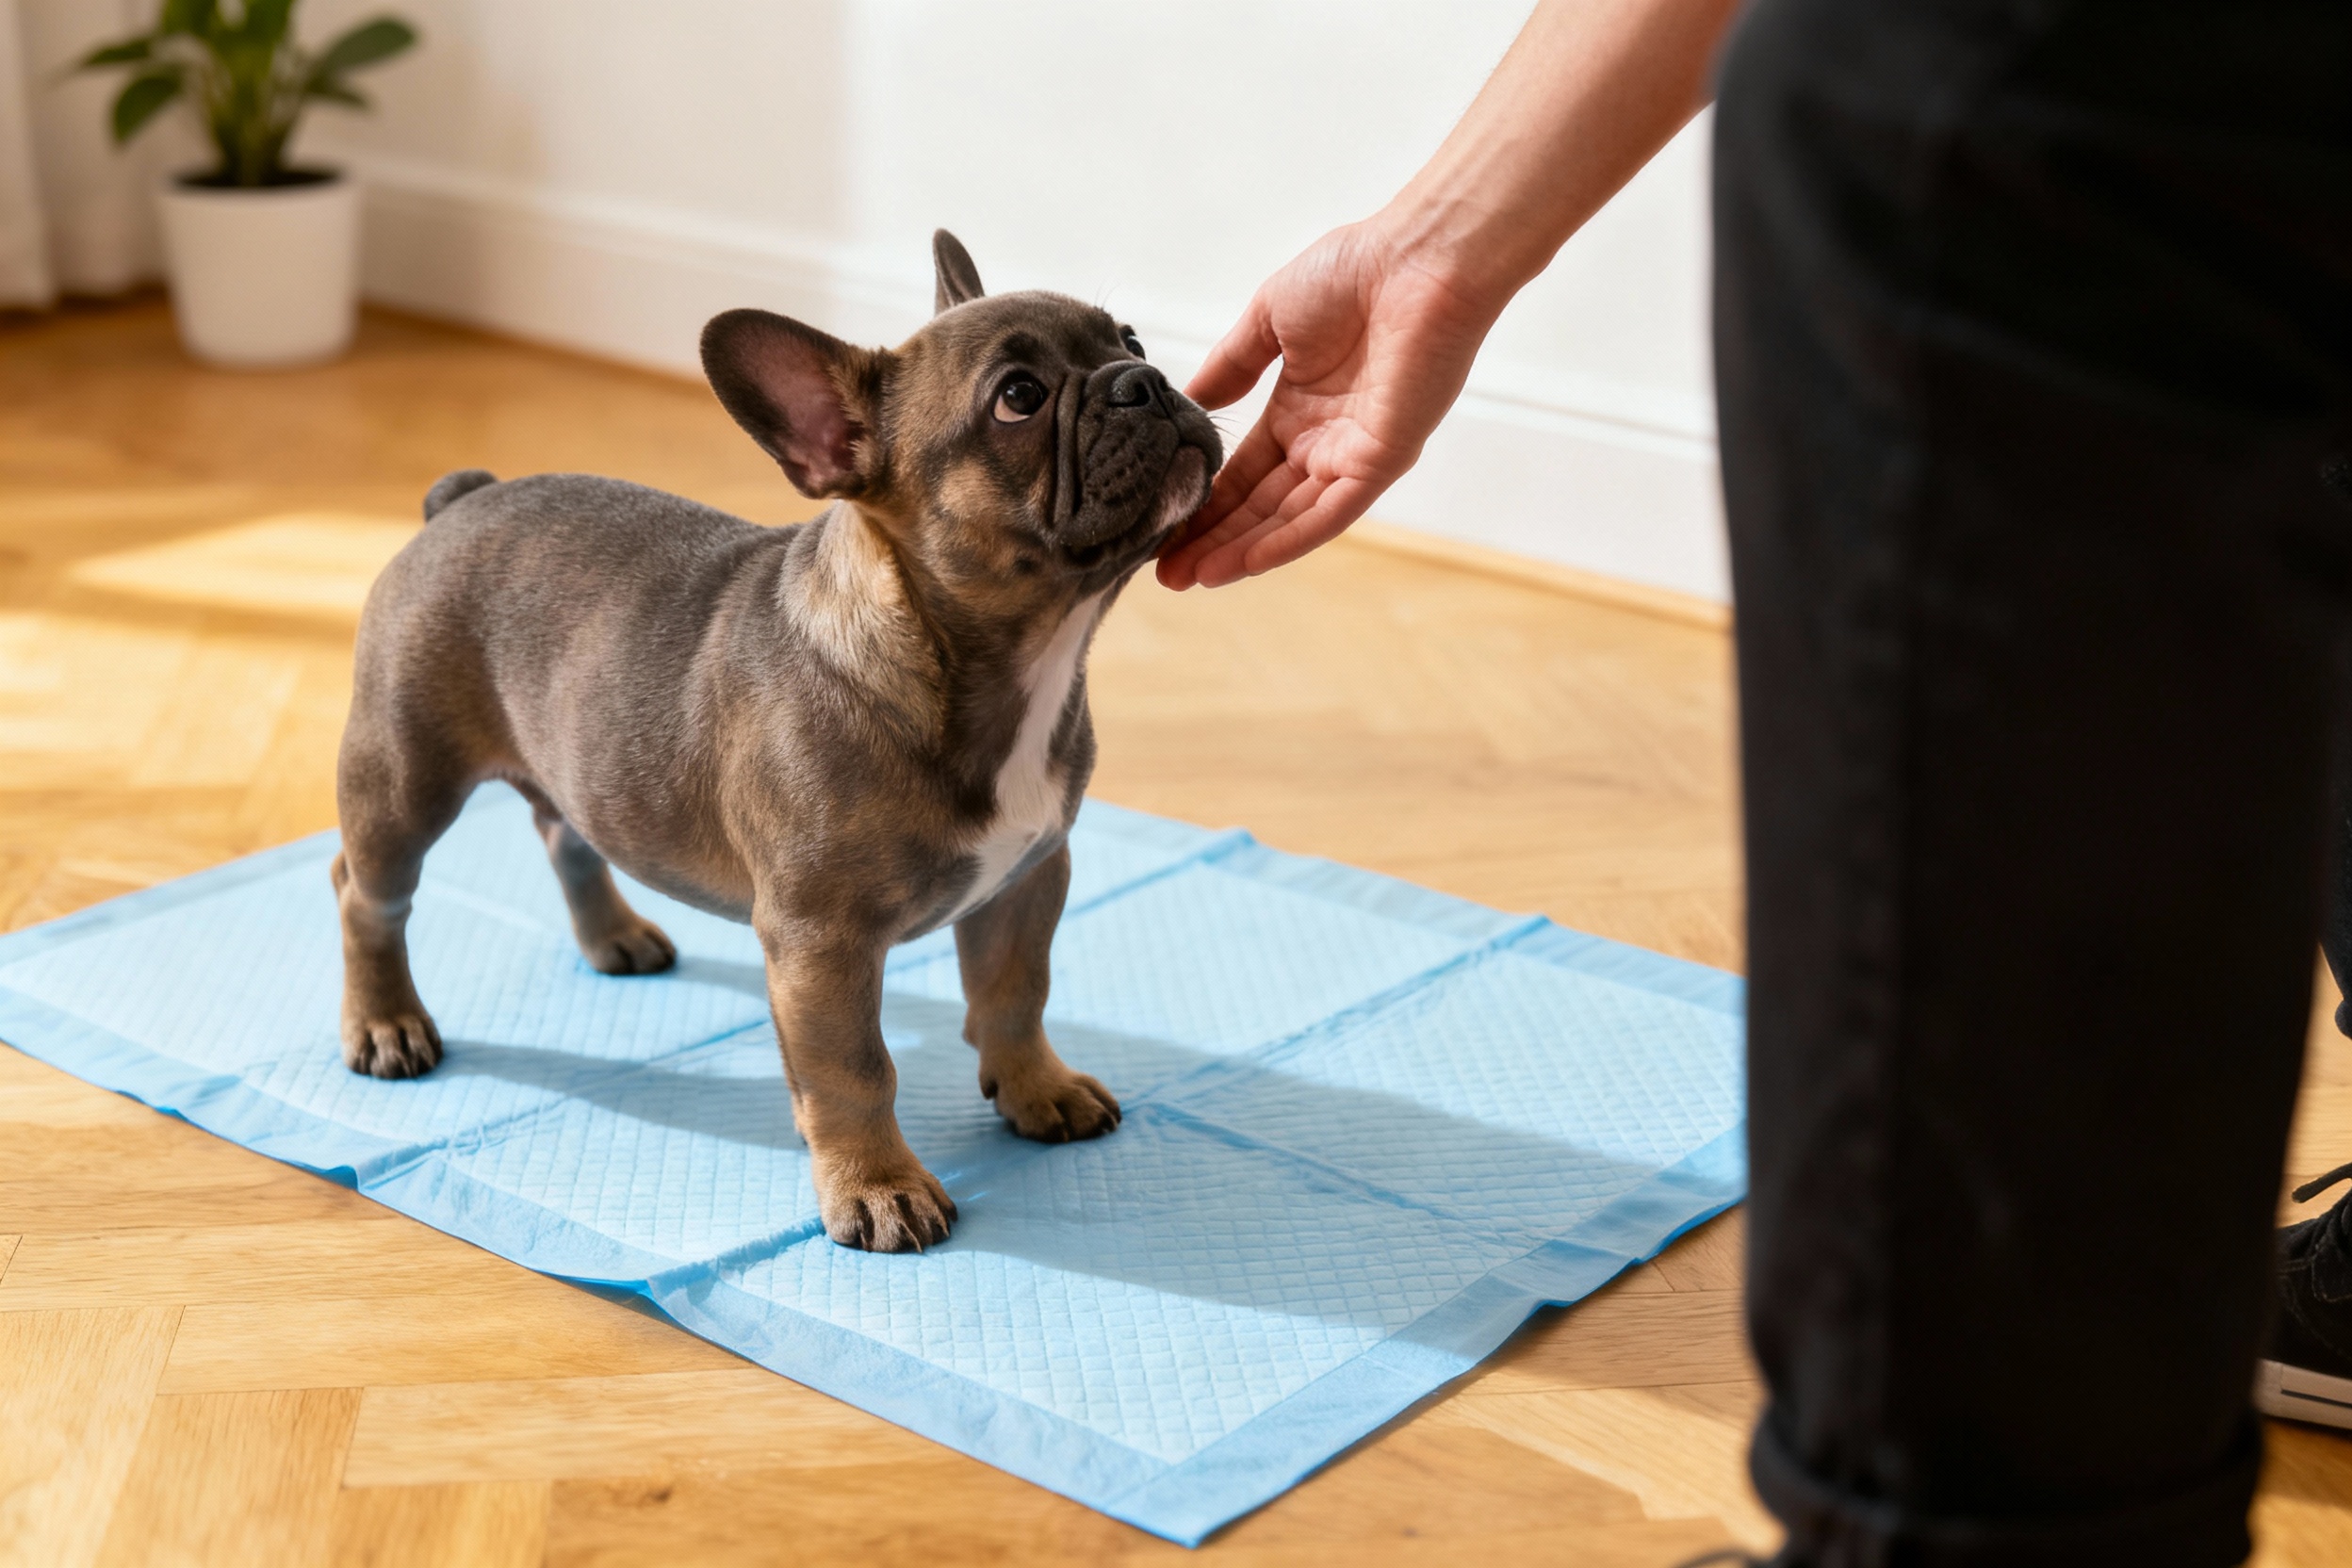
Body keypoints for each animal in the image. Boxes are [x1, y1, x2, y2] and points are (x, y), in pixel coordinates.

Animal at [331, 231, 1222, 1252]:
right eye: (1020, 397)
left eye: (1130, 337)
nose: (1145, 380)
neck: (986, 666)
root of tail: (460, 502)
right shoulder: (820, 942)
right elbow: (853, 1070)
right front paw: (877, 1186)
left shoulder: (1030, 874)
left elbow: (1013, 993)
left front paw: (1039, 1087)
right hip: (406, 778)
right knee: (369, 896)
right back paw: (386, 1022)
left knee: (565, 828)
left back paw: (616, 935)